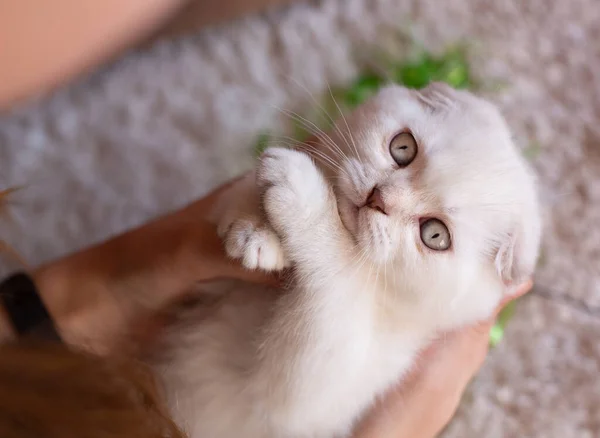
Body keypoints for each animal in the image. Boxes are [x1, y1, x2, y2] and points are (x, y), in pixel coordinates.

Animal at [152, 83, 540, 438]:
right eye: (403, 147)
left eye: (434, 235)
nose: (379, 198)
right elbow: (230, 201)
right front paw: (252, 225)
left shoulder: (319, 395)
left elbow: (338, 283)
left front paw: (300, 195)